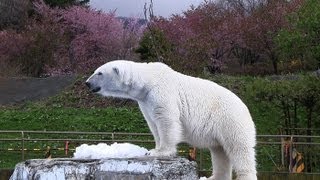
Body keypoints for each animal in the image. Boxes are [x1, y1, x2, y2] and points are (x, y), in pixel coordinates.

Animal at [85, 60, 258, 180]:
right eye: (95, 71)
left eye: (99, 73)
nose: (87, 83)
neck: (148, 80)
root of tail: (246, 108)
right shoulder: (145, 102)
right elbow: (153, 124)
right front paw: (153, 148)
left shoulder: (161, 93)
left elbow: (166, 121)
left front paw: (160, 152)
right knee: (219, 151)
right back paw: (213, 177)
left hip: (230, 121)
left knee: (239, 149)